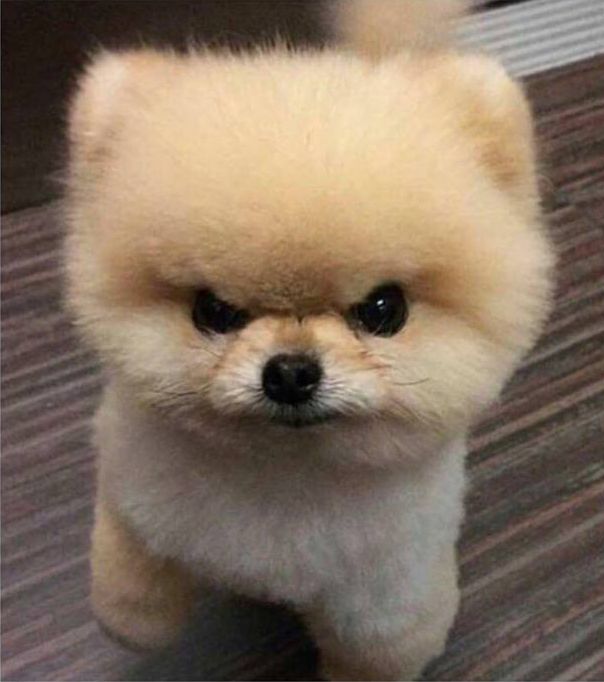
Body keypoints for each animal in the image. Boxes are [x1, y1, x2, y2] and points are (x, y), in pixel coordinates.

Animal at [63, 2, 556, 676]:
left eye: (384, 309)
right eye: (212, 310)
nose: (291, 372)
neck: (284, 475)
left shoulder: (387, 585)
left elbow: (383, 648)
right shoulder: (135, 500)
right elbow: (129, 590)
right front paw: (137, 624)